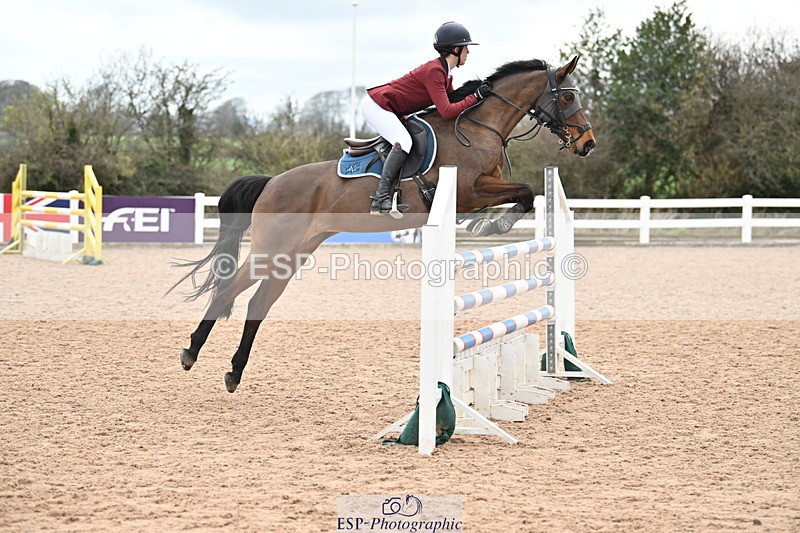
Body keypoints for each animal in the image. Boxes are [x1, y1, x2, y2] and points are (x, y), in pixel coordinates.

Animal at [172, 55, 595, 393]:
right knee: (228, 289)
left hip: (292, 255)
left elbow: (525, 192)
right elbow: (524, 191)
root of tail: (271, 182)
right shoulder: (469, 192)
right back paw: (191, 353)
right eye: (568, 97)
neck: (478, 128)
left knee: (258, 303)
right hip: (271, 250)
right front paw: (492, 228)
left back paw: (234, 372)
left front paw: (491, 226)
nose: (587, 144)